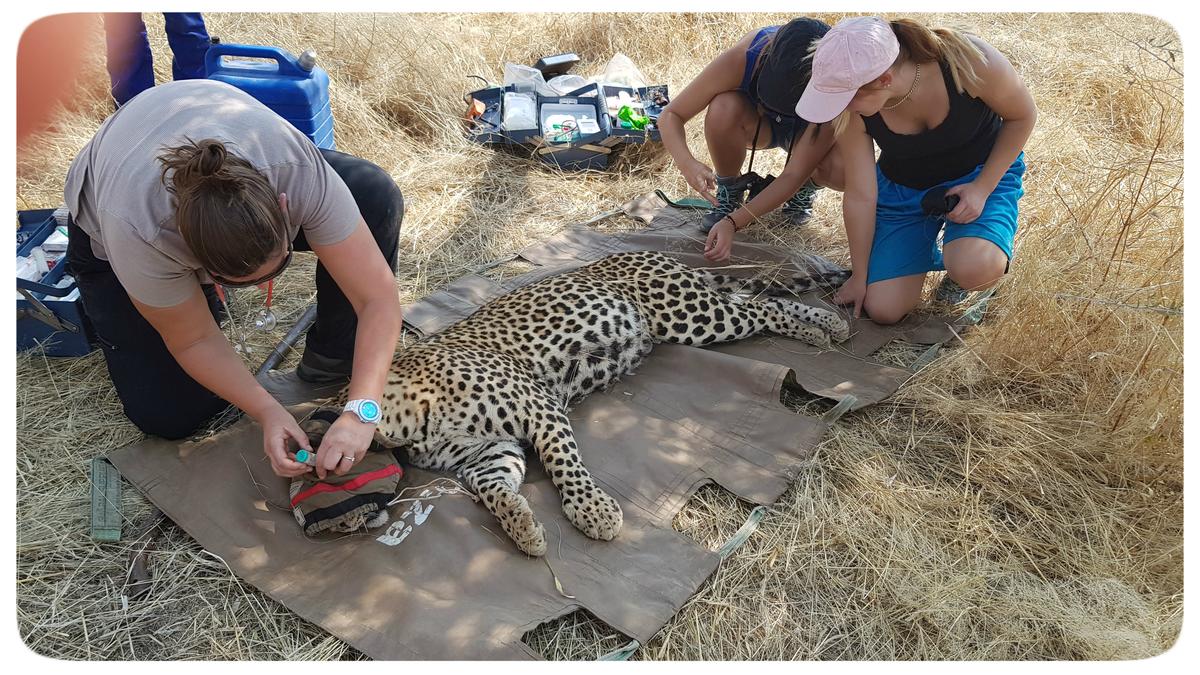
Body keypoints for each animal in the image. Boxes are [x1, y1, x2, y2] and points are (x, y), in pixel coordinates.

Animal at [331, 250, 849, 556]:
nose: (330, 527)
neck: (411, 425)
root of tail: (645, 250)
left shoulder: (538, 406)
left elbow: (564, 461)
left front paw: (592, 510)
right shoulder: (487, 452)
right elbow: (495, 488)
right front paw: (522, 525)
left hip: (690, 316)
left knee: (761, 307)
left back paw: (820, 329)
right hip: (698, 315)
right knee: (756, 299)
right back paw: (827, 324)